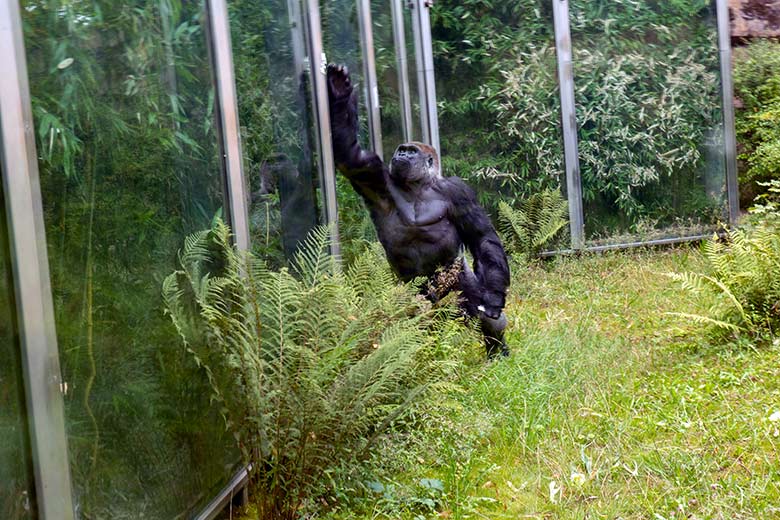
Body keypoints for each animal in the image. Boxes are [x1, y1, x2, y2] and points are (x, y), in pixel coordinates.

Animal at [324, 64, 512, 358]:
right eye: (401, 150)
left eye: (411, 151)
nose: (401, 156)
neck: (419, 185)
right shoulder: (375, 175)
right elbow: (350, 157)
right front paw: (339, 91)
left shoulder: (459, 191)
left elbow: (483, 239)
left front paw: (493, 297)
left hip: (455, 281)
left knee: (480, 310)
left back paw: (497, 350)